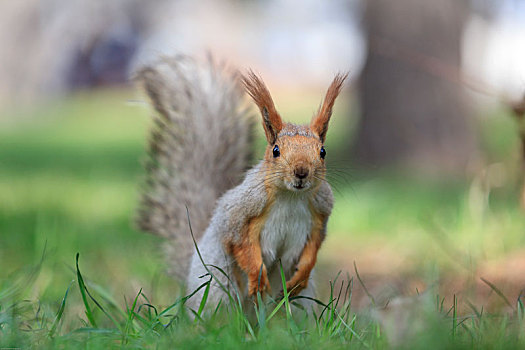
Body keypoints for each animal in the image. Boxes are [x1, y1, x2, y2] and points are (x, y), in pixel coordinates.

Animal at [135, 56, 346, 310]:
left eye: (322, 152)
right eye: (276, 150)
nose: (301, 172)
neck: (291, 197)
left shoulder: (320, 213)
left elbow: (313, 248)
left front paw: (299, 277)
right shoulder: (241, 212)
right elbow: (241, 246)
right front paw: (258, 280)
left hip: (299, 305)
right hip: (217, 289)